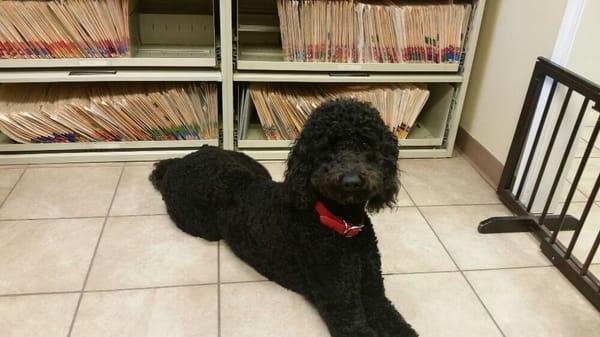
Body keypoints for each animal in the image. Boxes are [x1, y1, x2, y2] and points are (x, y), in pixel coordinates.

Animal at [150, 98, 418, 336]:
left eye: (365, 142)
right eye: (326, 147)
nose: (351, 181)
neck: (341, 225)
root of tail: (179, 162)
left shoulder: (374, 292)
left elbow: (396, 323)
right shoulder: (340, 302)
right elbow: (355, 324)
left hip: (256, 167)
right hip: (200, 225)